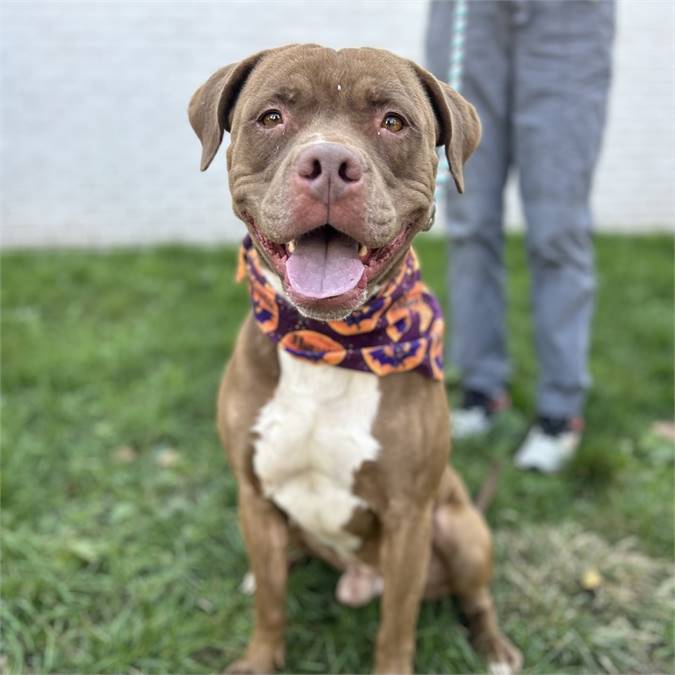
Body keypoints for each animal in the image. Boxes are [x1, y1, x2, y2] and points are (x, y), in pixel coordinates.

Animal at [190, 45, 524, 672]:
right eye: (271, 117)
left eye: (393, 121)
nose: (327, 162)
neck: (328, 347)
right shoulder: (255, 493)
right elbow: (271, 605)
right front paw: (260, 655)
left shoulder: (409, 518)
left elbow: (397, 626)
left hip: (461, 529)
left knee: (476, 596)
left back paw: (495, 648)